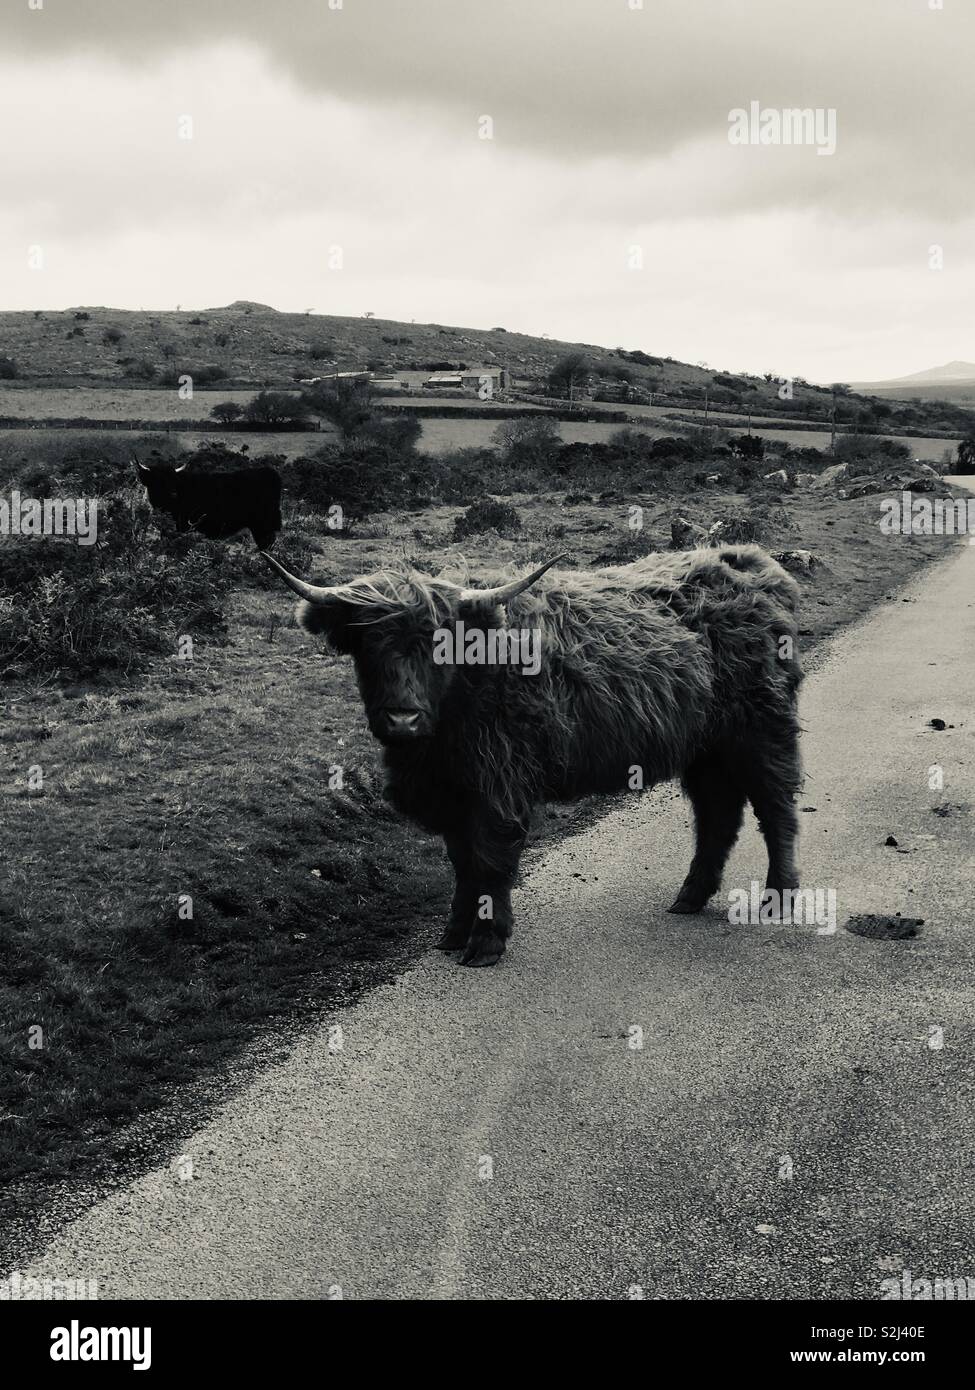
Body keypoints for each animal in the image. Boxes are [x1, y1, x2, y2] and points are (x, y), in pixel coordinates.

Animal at [132, 453, 280, 544]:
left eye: (174, 481)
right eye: (159, 481)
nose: (173, 494)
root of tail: (269, 471)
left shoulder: (181, 526)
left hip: (264, 526)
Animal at [262, 542, 801, 967]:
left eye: (437, 642)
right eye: (369, 643)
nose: (401, 719)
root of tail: (754, 567)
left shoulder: (500, 785)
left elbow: (490, 862)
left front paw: (485, 943)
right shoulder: (454, 794)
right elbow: (461, 863)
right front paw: (452, 934)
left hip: (762, 732)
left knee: (776, 809)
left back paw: (780, 896)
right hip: (706, 749)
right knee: (718, 815)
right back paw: (690, 896)